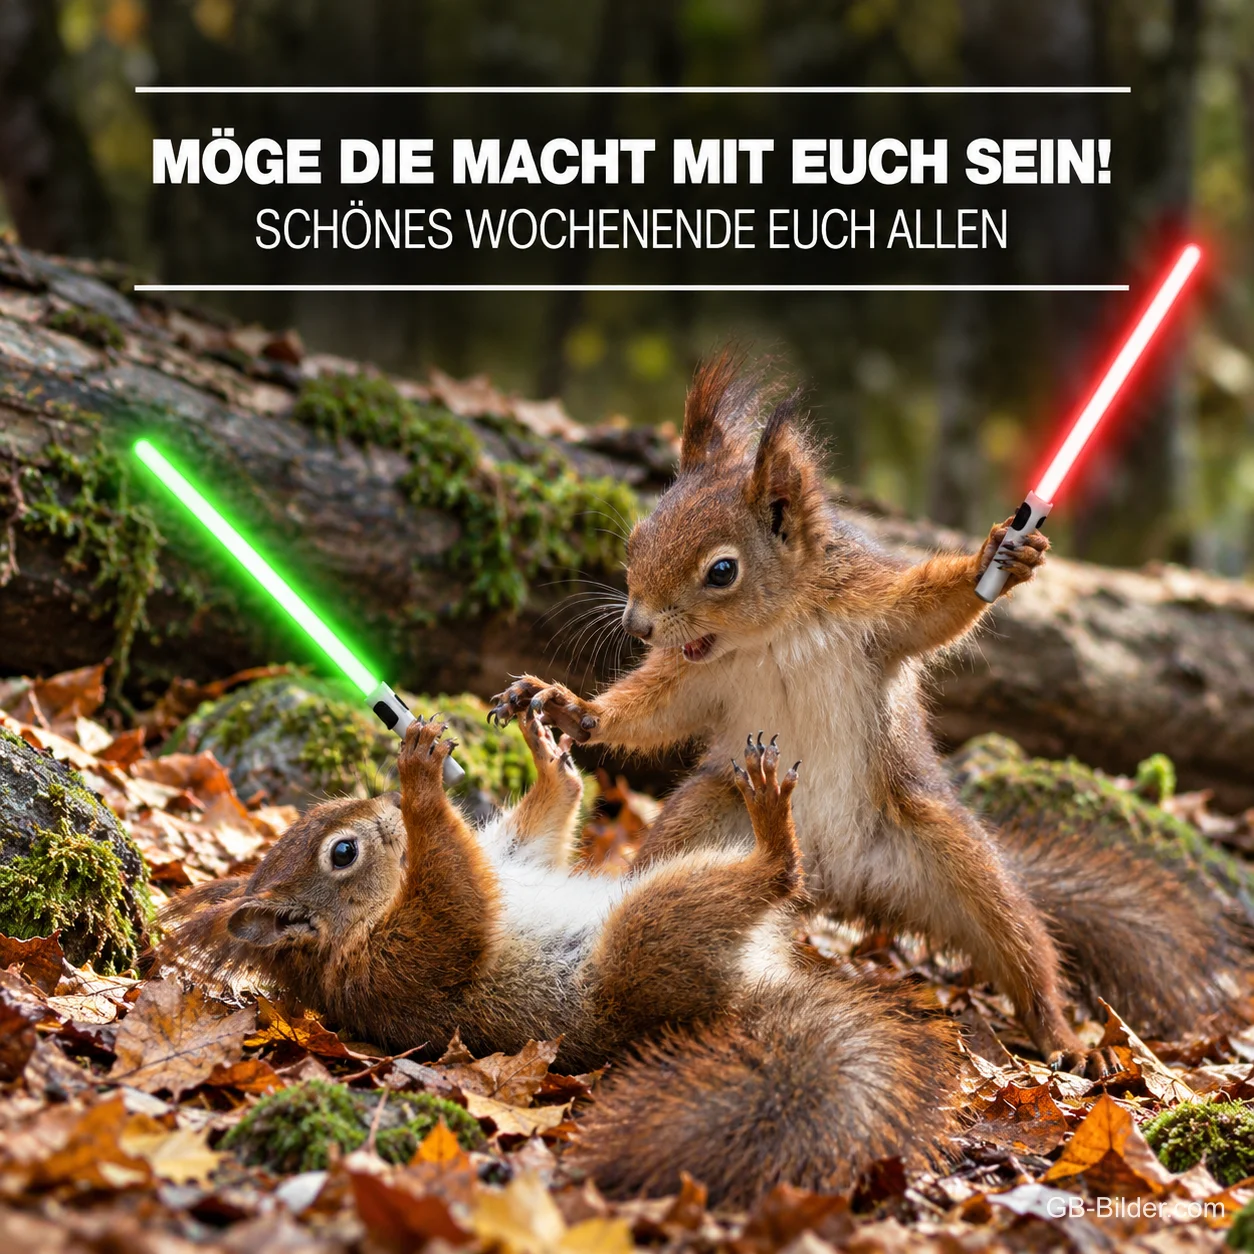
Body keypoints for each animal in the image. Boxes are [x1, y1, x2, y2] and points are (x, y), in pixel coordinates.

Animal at [158, 711, 960, 1205]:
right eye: (343, 853)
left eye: (327, 812)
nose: (384, 810)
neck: (356, 930)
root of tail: (740, 1000)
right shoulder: (400, 965)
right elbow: (458, 909)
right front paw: (420, 783)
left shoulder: (503, 858)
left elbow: (535, 832)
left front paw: (547, 752)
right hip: (653, 925)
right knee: (779, 878)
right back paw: (769, 823)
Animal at [489, 355, 1247, 1075]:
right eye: (639, 535)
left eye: (721, 571)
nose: (639, 625)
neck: (776, 630)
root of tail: (835, 881)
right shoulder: (698, 675)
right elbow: (652, 707)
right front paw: (572, 710)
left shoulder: (875, 614)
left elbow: (937, 608)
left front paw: (1001, 554)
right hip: (707, 811)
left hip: (949, 854)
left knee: (1023, 953)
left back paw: (1063, 1039)